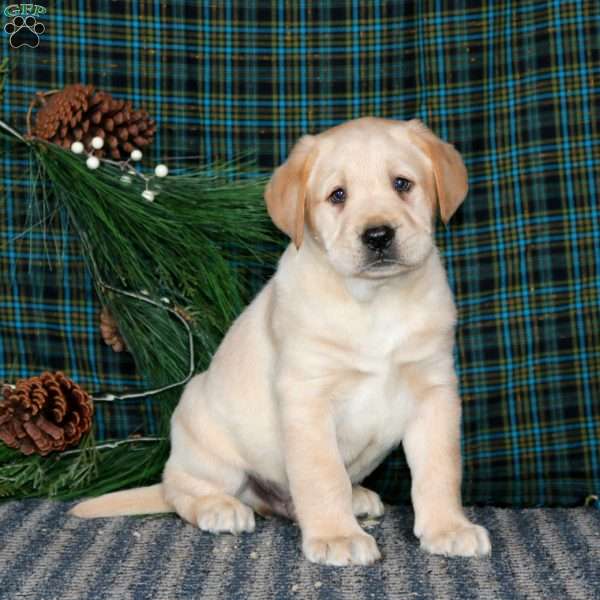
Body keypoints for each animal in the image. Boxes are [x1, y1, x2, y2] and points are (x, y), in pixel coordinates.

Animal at [71, 118, 492, 568]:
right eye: (338, 195)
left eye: (402, 184)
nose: (378, 235)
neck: (375, 301)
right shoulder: (307, 397)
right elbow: (323, 474)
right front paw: (338, 536)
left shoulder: (435, 391)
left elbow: (439, 470)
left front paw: (448, 528)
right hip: (206, 441)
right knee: (178, 487)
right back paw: (220, 508)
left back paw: (355, 497)